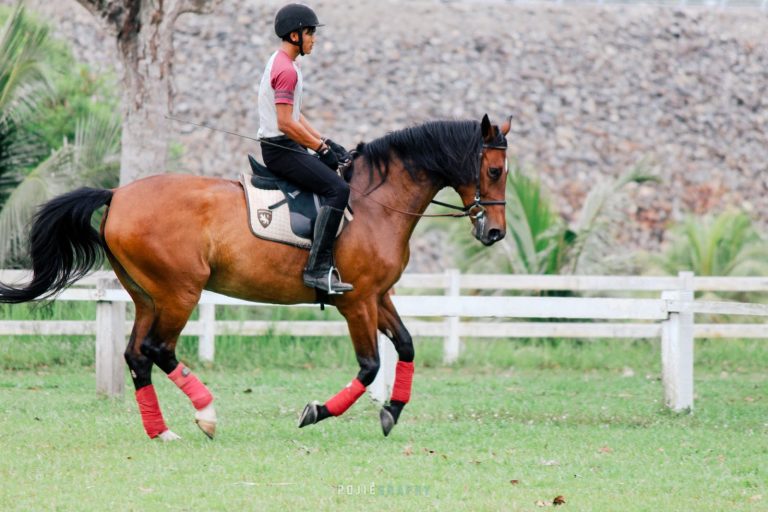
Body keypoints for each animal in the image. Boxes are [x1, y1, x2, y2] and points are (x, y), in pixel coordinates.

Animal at [0, 115, 510, 440]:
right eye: (494, 170)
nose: (495, 232)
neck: (373, 203)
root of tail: (118, 194)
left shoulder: (378, 296)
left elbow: (404, 346)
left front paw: (392, 411)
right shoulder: (356, 301)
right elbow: (369, 366)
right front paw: (317, 412)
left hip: (147, 296)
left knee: (137, 355)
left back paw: (162, 432)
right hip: (179, 292)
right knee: (158, 350)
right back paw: (206, 415)